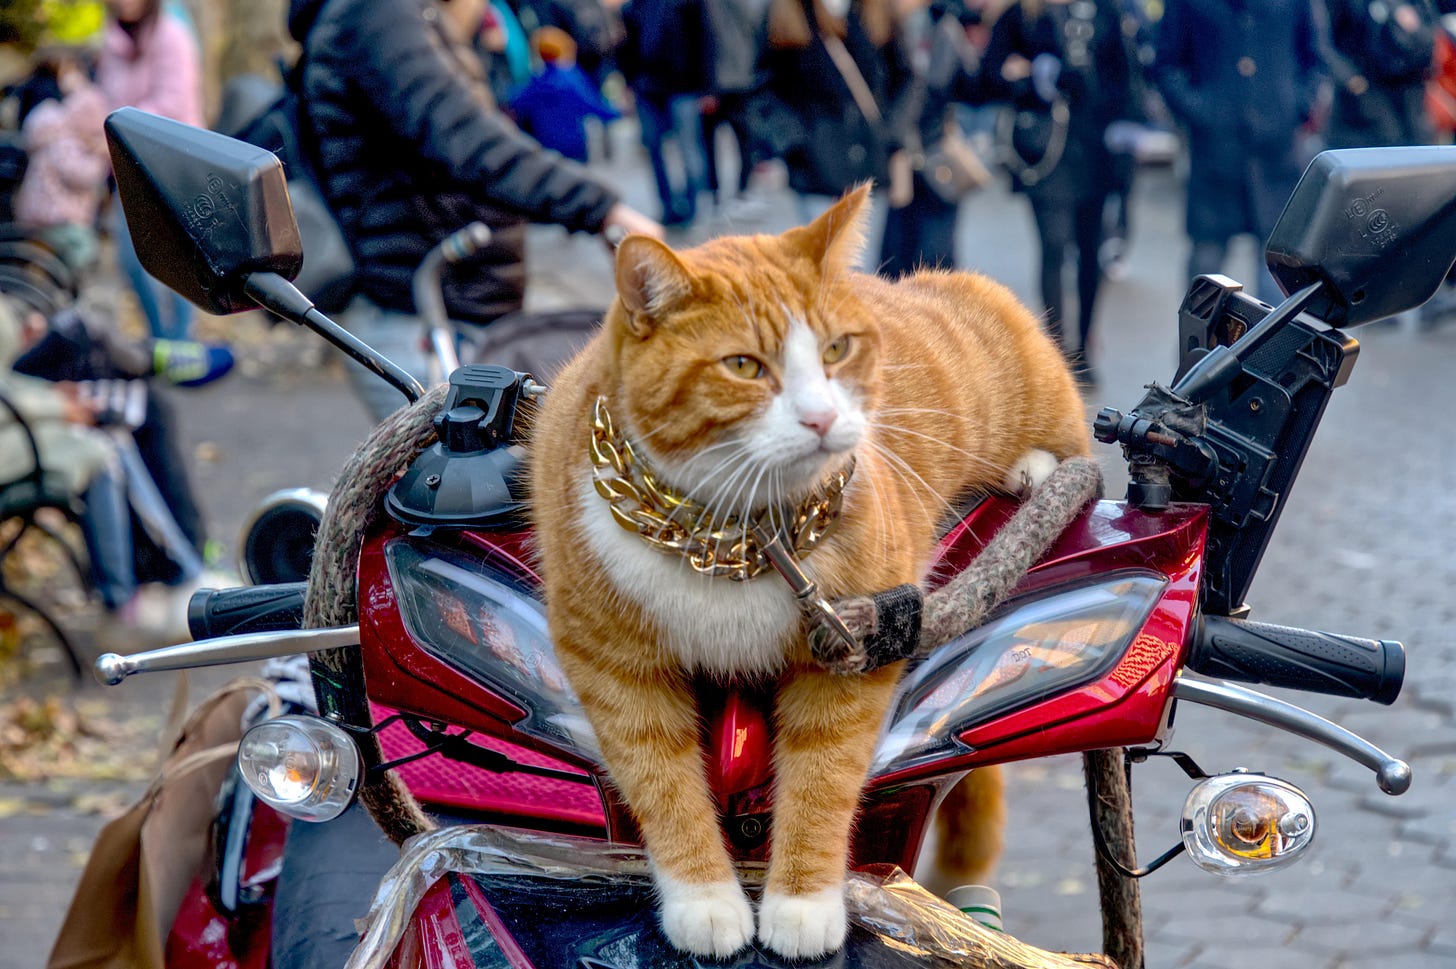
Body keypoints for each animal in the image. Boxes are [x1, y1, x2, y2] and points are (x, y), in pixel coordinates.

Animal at [529, 184, 1089, 954]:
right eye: (742, 366)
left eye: (835, 349)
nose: (824, 418)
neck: (730, 533)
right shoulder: (613, 664)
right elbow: (660, 779)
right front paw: (705, 897)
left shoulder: (852, 649)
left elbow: (823, 778)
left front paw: (803, 902)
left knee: (1071, 432)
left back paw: (1032, 466)